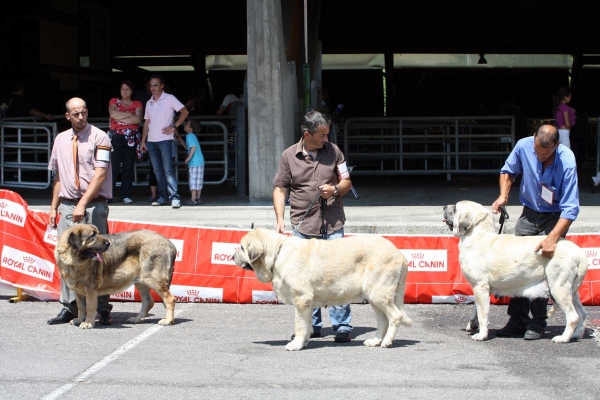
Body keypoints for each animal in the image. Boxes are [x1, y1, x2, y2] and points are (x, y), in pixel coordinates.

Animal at [231, 228, 412, 350]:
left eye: (242, 247)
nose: (232, 256)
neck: (278, 253)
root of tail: (400, 255)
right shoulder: (308, 303)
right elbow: (307, 324)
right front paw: (303, 342)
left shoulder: (301, 299)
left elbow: (299, 324)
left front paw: (295, 344)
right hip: (374, 296)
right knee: (383, 320)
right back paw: (375, 341)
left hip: (378, 294)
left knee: (395, 316)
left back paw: (387, 342)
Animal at [442, 202, 588, 342]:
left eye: (455, 208)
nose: (443, 207)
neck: (478, 235)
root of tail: (580, 254)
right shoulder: (480, 288)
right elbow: (476, 308)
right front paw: (472, 323)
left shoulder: (480, 286)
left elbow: (483, 314)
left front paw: (481, 335)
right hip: (571, 290)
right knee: (582, 313)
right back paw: (576, 335)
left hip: (559, 287)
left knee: (573, 316)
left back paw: (563, 338)